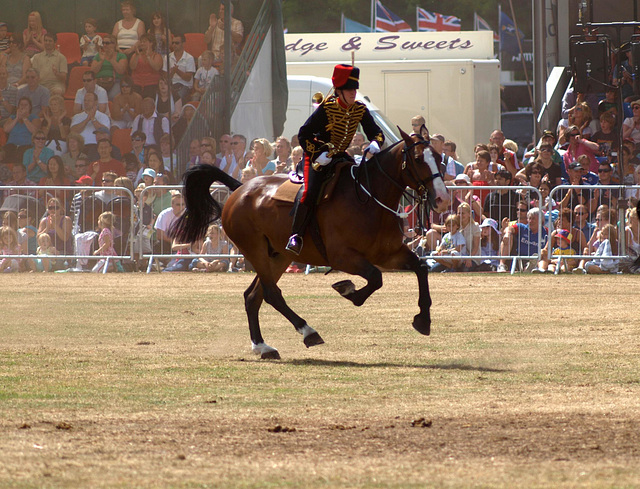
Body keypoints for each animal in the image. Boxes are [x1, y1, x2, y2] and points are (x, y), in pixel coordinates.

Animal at [172, 130, 448, 358]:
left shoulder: (388, 254)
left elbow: (419, 269)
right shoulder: (343, 257)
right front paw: (348, 290)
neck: (368, 199)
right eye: (419, 158)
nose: (443, 199)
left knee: (253, 296)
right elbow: (375, 278)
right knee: (271, 294)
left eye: (439, 157)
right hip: (256, 251)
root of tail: (240, 189)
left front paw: (423, 319)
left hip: (278, 256)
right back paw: (307, 331)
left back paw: (263, 346)